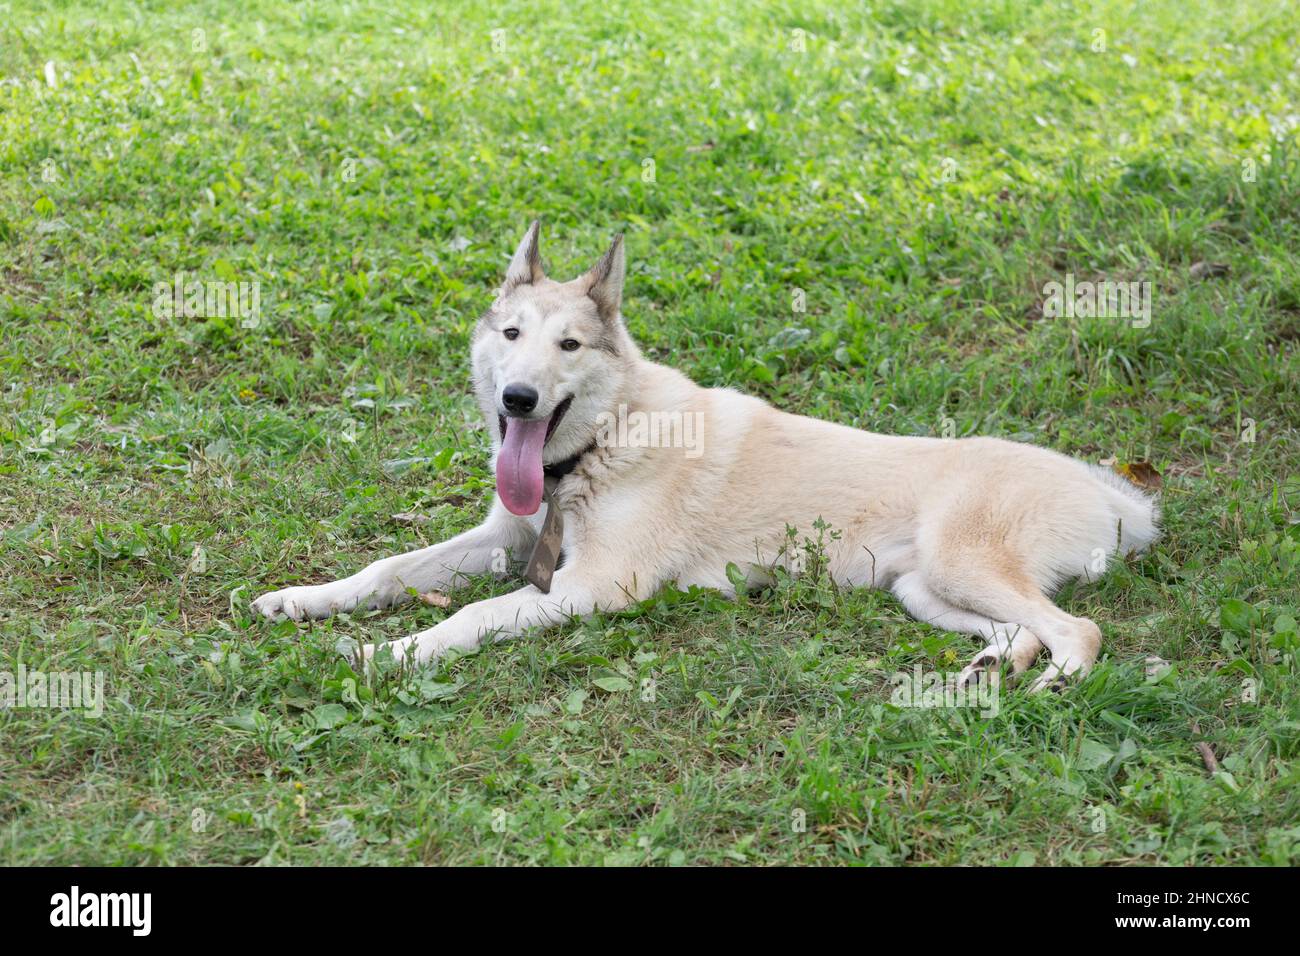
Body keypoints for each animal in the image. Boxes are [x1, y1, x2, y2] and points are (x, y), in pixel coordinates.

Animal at [250, 221, 1159, 691]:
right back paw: (989, 666)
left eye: (569, 345)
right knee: (1023, 630)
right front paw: (302, 599)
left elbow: (471, 617)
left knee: (1078, 628)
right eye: (510, 335)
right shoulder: (505, 539)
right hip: (922, 588)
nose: (519, 400)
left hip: (958, 563)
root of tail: (1119, 498)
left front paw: (388, 653)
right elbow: (386, 569)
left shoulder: (593, 587)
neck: (603, 443)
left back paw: (1054, 683)